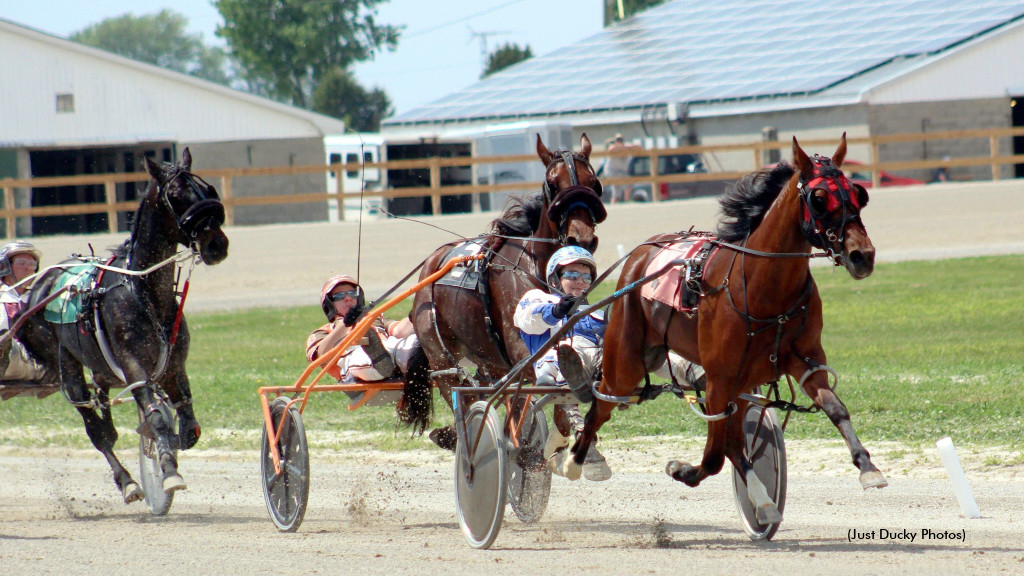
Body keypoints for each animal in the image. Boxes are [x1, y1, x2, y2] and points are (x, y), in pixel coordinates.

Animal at [19, 148, 228, 502]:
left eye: (208, 189)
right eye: (175, 195)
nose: (217, 244)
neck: (143, 292)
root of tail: (40, 285)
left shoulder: (174, 367)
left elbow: (187, 428)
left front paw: (167, 450)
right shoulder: (134, 367)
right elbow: (156, 422)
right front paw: (168, 473)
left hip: (102, 370)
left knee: (105, 413)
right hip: (66, 363)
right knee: (97, 429)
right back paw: (128, 481)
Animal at [409, 133, 602, 444]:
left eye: (594, 183)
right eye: (552, 184)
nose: (581, 238)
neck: (538, 269)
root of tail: (432, 265)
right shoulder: (521, 350)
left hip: (490, 359)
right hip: (441, 361)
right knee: (462, 396)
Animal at [569, 134, 888, 520]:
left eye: (858, 194)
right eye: (819, 198)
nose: (862, 256)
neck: (763, 288)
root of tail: (642, 252)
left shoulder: (802, 361)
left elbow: (835, 408)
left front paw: (868, 467)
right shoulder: (720, 378)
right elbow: (712, 457)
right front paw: (681, 469)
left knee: (732, 441)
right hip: (627, 364)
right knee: (599, 407)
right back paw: (574, 460)